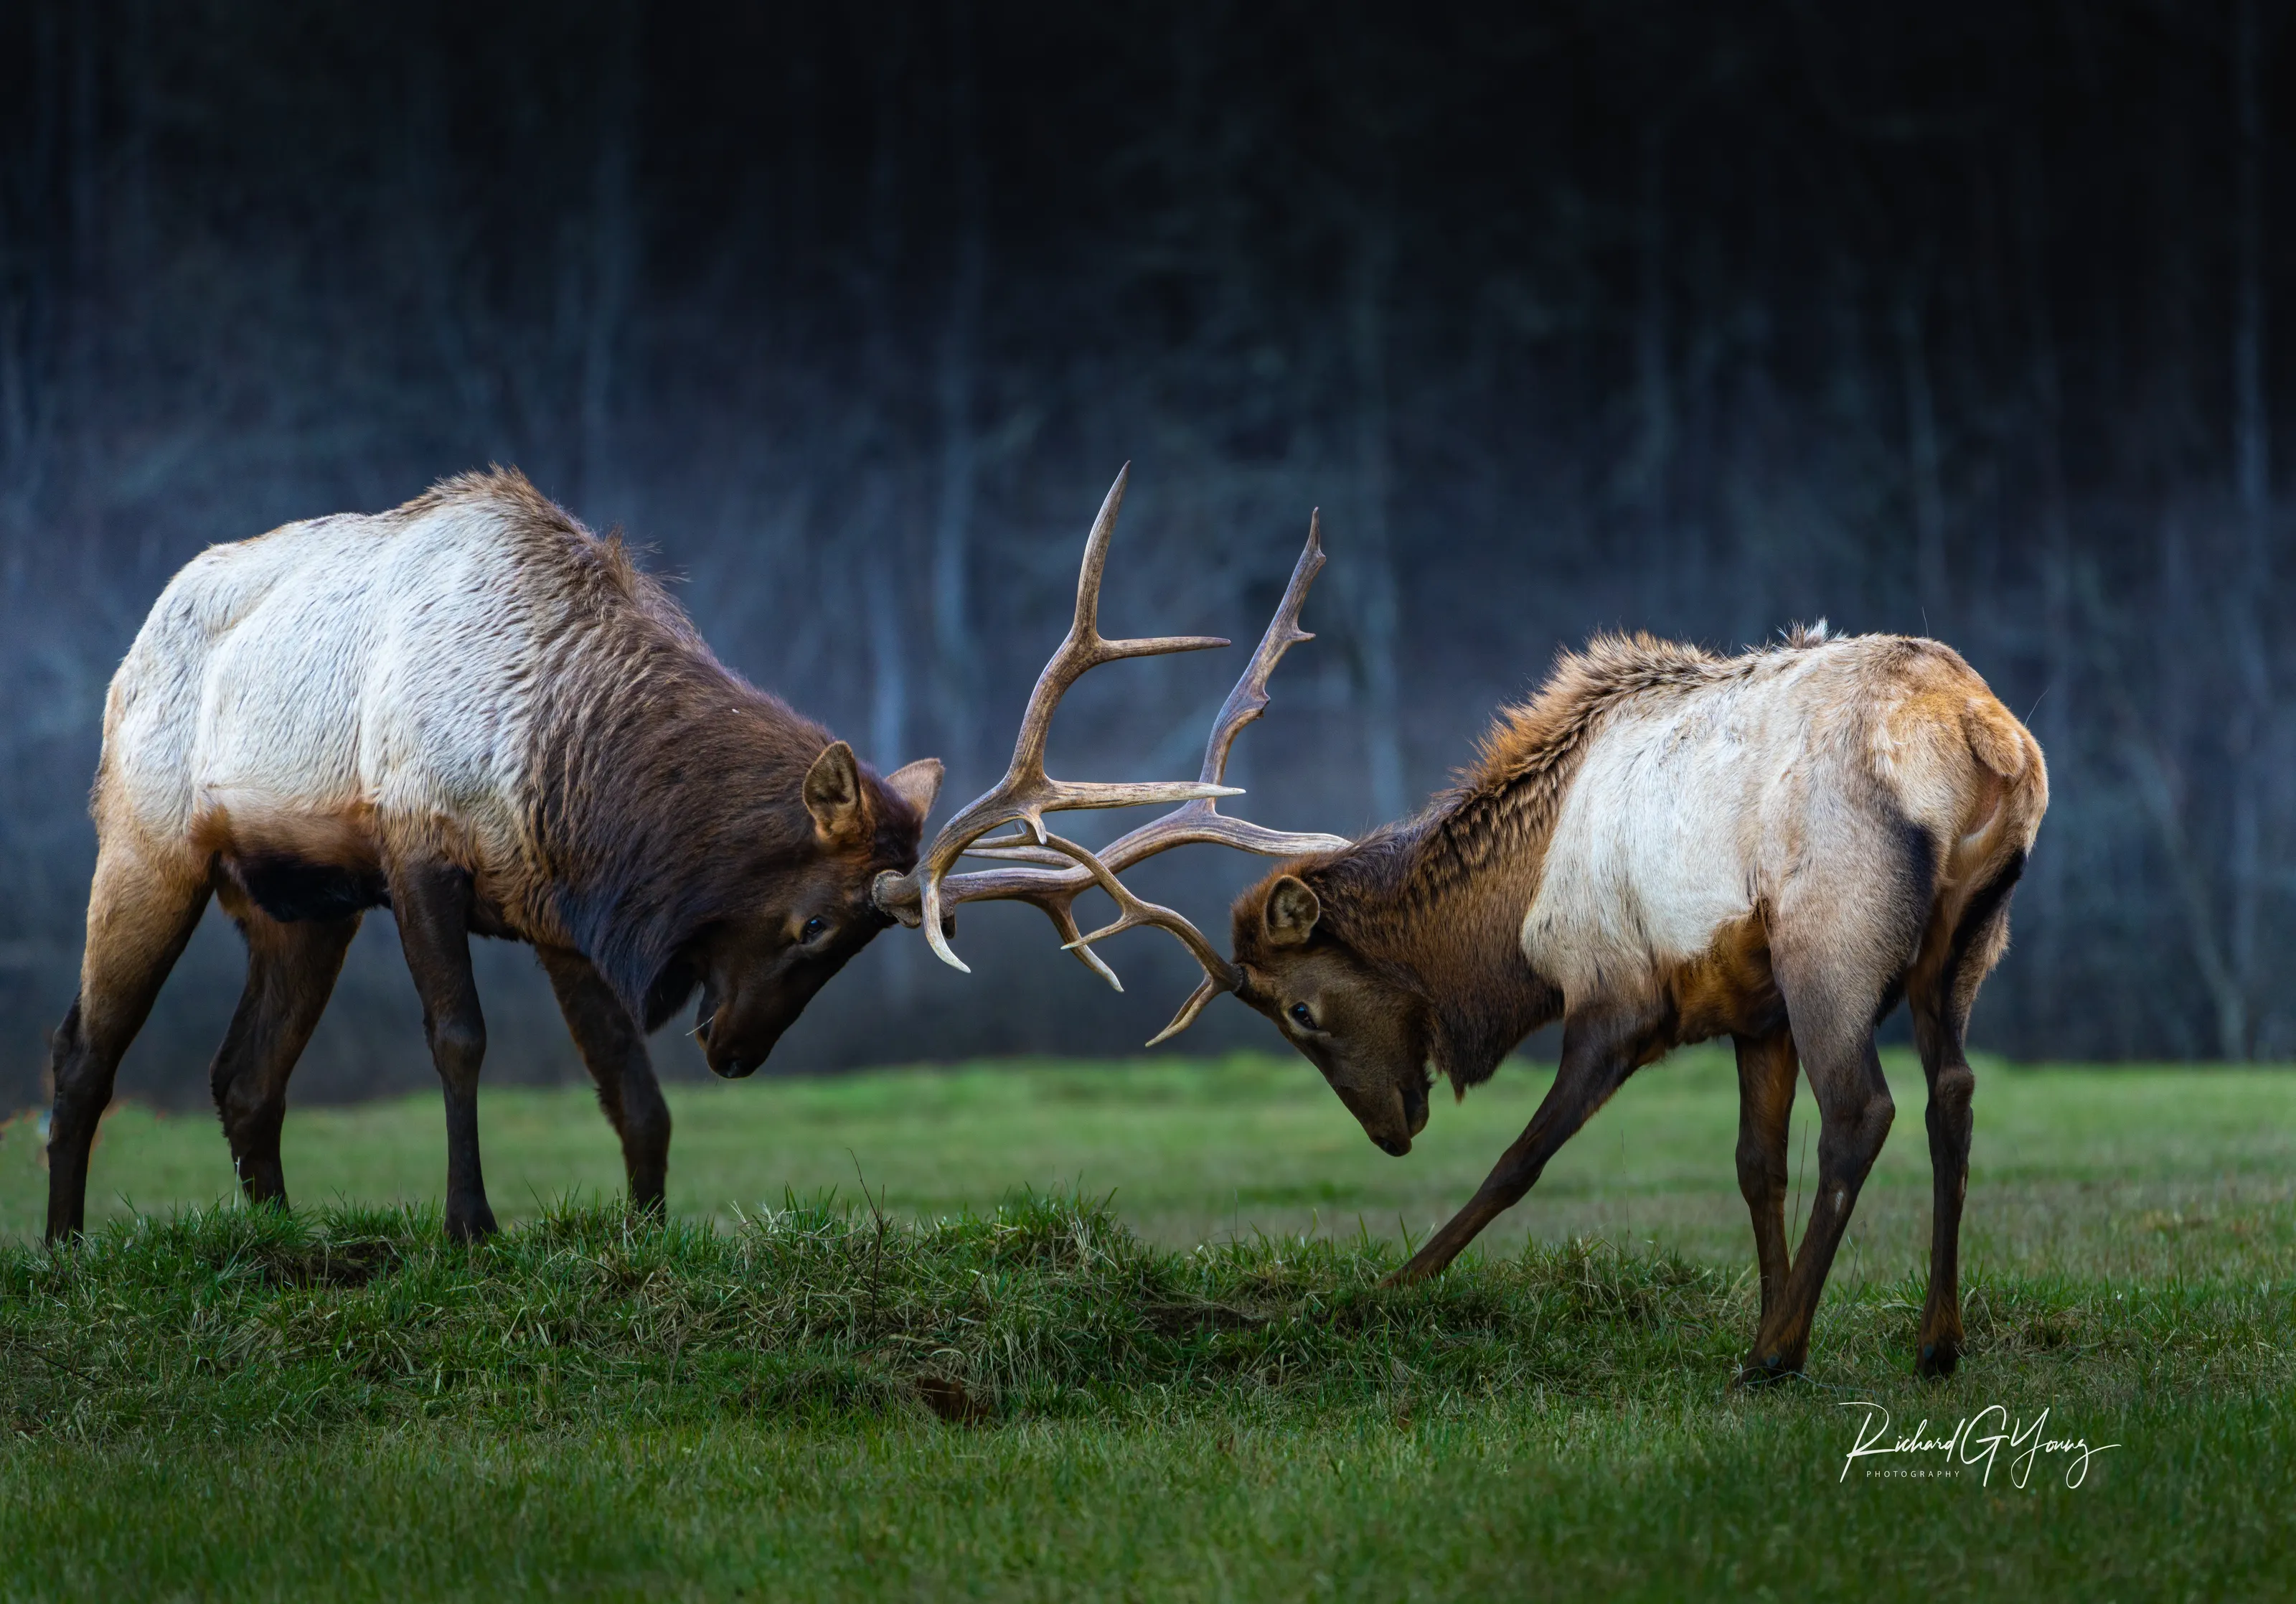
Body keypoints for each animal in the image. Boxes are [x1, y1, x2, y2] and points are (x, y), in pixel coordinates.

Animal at [46, 464, 1343, 1245]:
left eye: (875, 943)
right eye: (815, 921)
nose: (735, 1050)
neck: (556, 756)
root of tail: (132, 643)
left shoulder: (560, 906)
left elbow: (631, 1090)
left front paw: (648, 1233)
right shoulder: (418, 848)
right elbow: (459, 1038)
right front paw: (471, 1226)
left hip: (299, 903)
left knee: (243, 1076)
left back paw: (276, 1235)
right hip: (149, 841)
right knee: (85, 1046)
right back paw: (64, 1242)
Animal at [1194, 628, 2048, 1383]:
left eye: (1300, 1010)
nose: (1389, 1133)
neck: (1512, 923)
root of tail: (1985, 736)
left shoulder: (1616, 995)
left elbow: (1517, 1160)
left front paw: (1386, 1289)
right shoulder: (1758, 1012)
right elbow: (1757, 1165)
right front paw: (1774, 1311)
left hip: (1829, 940)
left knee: (1860, 1111)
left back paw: (1772, 1357)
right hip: (1965, 942)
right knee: (1952, 1093)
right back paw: (1933, 1342)